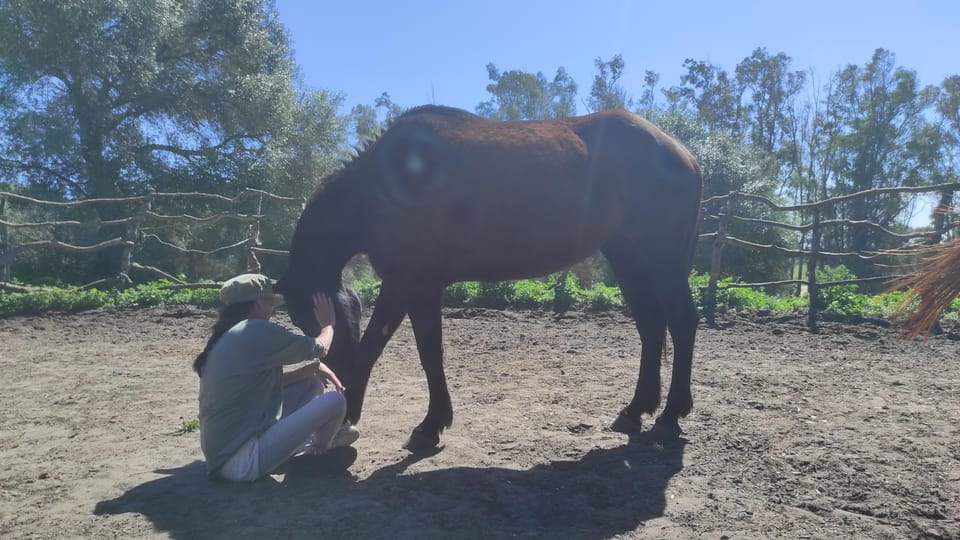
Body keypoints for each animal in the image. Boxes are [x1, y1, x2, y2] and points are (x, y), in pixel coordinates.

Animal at [274, 105, 704, 452]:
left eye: (305, 316)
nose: (334, 378)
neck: (380, 187)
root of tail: (682, 152)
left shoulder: (410, 284)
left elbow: (401, 350)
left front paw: (420, 426)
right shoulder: (409, 285)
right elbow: (408, 349)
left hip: (661, 260)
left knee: (682, 322)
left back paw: (669, 417)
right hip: (628, 258)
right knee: (651, 326)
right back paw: (635, 411)